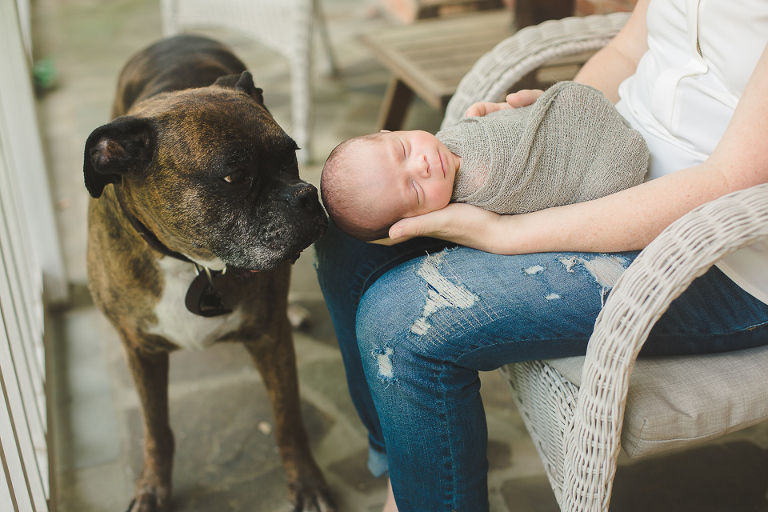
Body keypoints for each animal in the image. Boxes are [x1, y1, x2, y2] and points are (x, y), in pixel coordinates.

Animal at [84, 36, 332, 512]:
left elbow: (288, 417)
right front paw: (152, 487)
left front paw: (307, 481)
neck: (189, 261)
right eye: (235, 177)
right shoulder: (140, 350)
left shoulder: (270, 340)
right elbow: (156, 429)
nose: (307, 195)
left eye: (291, 156)